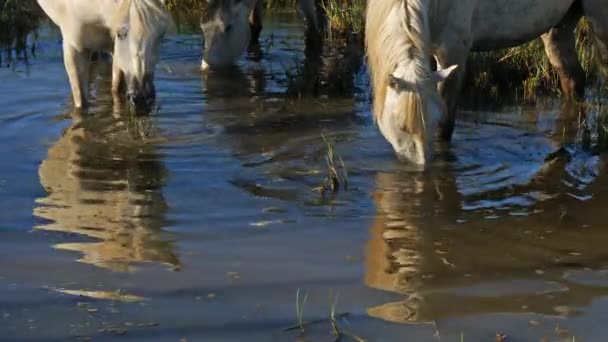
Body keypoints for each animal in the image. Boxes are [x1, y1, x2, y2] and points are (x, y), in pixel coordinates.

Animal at [36, 0, 172, 109]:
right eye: (120, 34)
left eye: (160, 37)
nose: (141, 97)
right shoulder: (73, 48)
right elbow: (81, 101)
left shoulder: (114, 49)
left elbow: (116, 88)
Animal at [366, 0, 608, 166]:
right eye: (402, 126)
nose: (421, 169)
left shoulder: (453, 52)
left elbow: (446, 127)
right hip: (560, 24)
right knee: (573, 82)